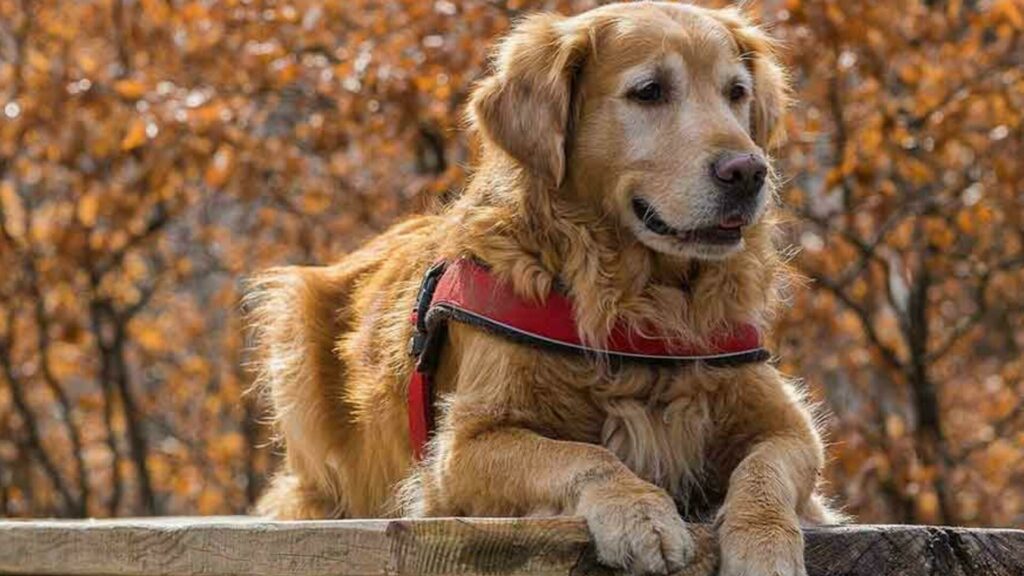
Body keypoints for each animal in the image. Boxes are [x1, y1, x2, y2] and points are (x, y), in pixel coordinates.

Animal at [249, 2, 839, 569]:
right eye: (649, 91)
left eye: (736, 92)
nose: (748, 172)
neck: (640, 302)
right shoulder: (461, 449)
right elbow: (585, 455)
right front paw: (640, 514)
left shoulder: (789, 425)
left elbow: (765, 471)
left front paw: (765, 541)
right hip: (293, 322)